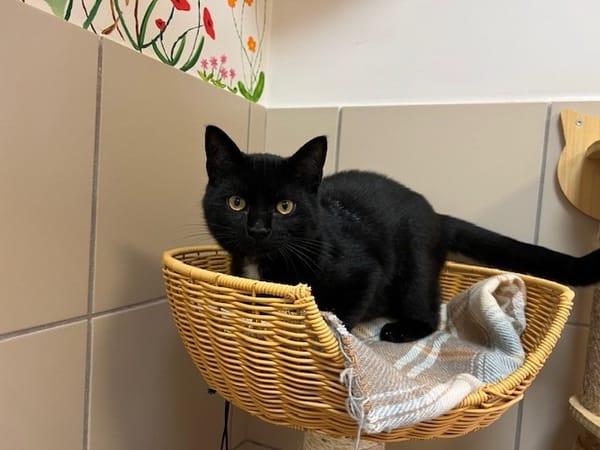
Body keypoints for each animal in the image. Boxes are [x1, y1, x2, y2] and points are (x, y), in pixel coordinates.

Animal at [202, 125, 600, 343]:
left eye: (285, 207)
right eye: (236, 203)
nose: (258, 229)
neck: (261, 262)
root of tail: (436, 214)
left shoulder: (365, 271)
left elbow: (341, 312)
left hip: (414, 270)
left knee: (430, 313)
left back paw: (401, 330)